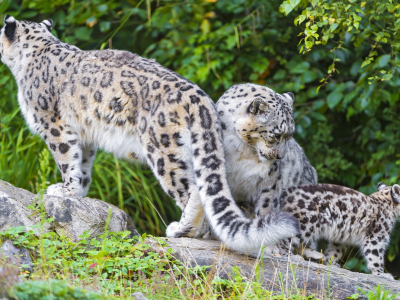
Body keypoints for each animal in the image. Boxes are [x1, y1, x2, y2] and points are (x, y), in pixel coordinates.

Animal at [0, 15, 300, 252]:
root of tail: (200, 98)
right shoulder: (85, 136)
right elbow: (82, 165)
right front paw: (79, 193)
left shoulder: (54, 126)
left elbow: (66, 160)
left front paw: (63, 190)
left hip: (163, 149)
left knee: (192, 189)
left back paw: (181, 230)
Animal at [216, 83, 318, 217]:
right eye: (276, 135)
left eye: (289, 136)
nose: (281, 156)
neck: (242, 151)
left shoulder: (270, 175)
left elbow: (267, 203)